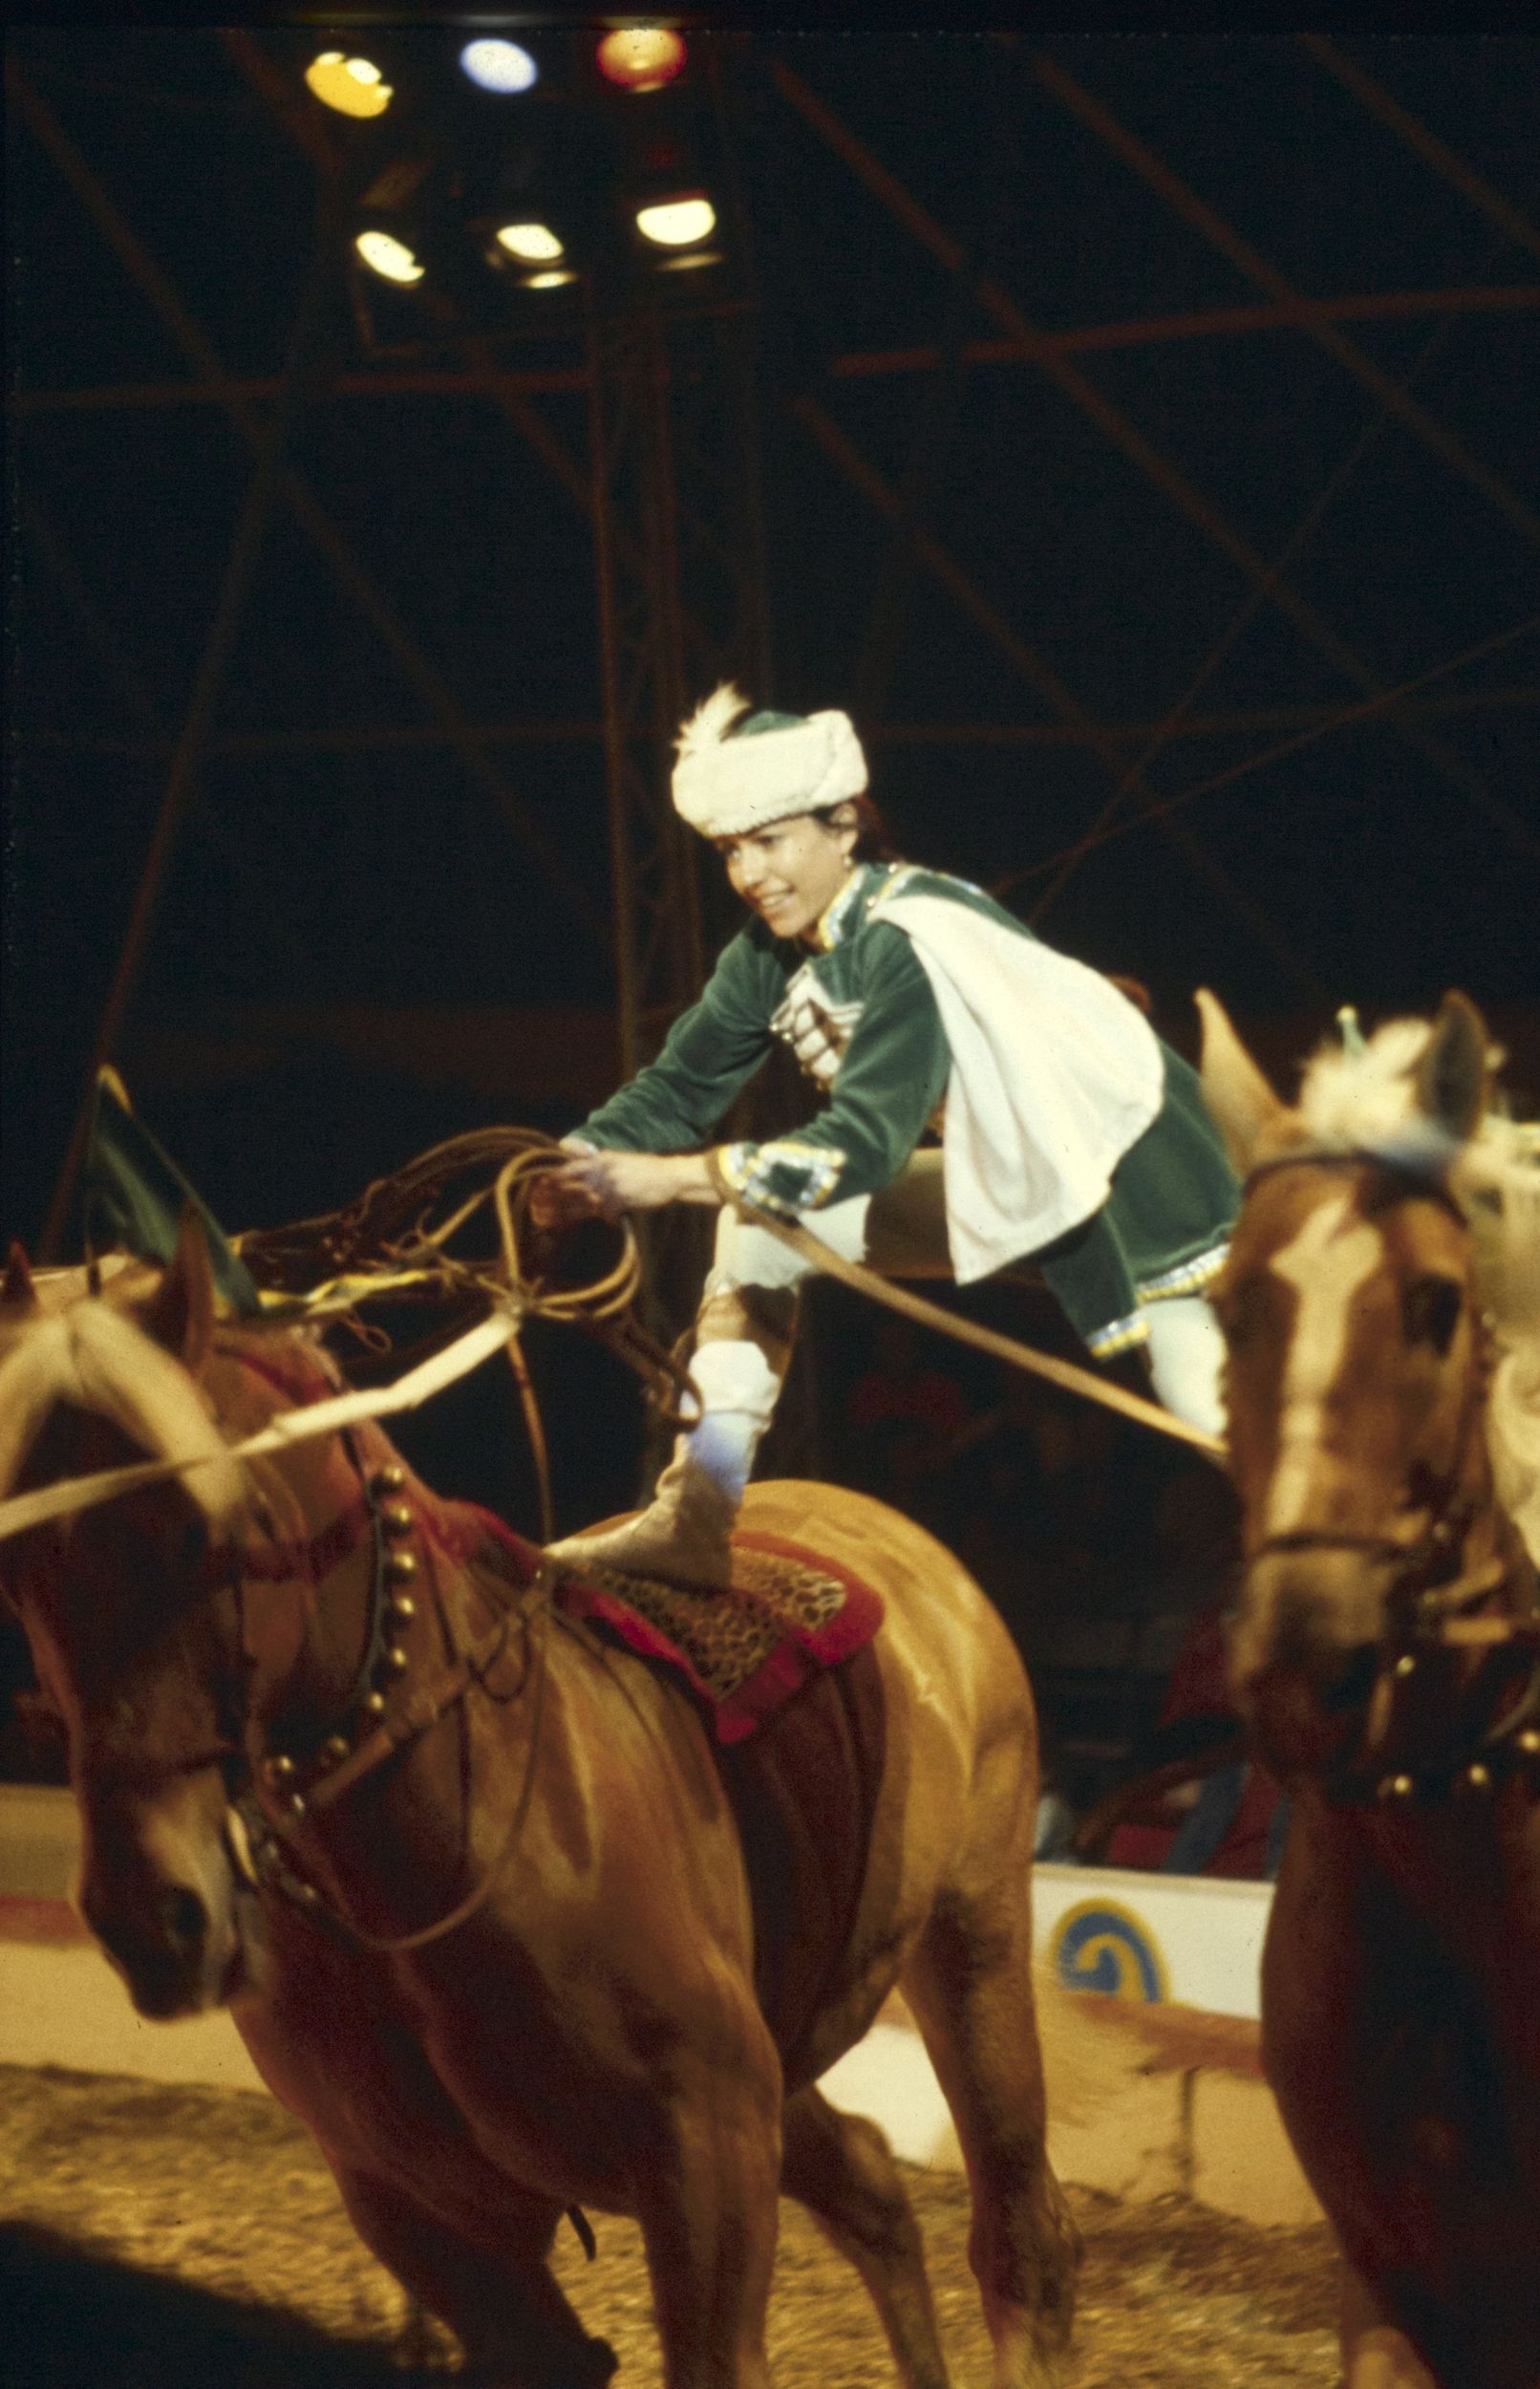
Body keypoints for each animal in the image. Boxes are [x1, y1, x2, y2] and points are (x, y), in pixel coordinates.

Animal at [0, 1233, 1079, 2389]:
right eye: (20, 1575)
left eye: (209, 1536)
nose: (147, 1917)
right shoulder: (429, 2224)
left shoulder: (709, 2173)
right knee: (873, 2188)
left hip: (971, 1944)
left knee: (1020, 2240)